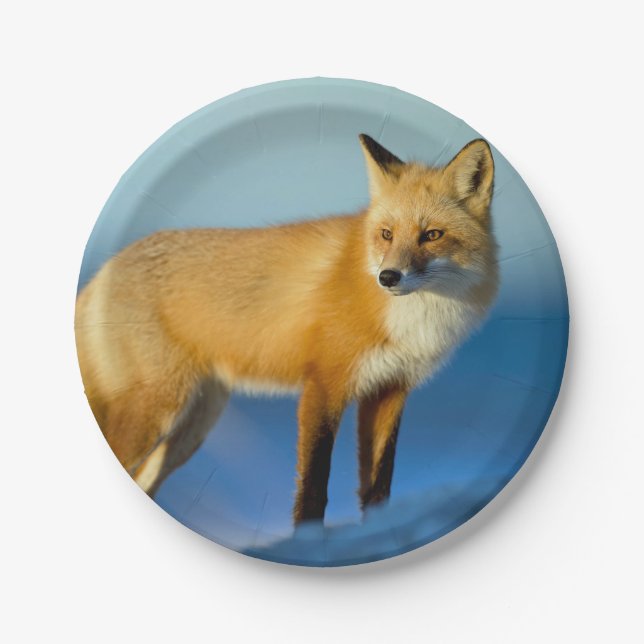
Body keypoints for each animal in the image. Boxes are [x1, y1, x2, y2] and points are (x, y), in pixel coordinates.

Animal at [75, 134, 498, 524]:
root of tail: (106, 268)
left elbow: (378, 487)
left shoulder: (389, 391)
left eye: (432, 235)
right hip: (156, 409)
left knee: (145, 482)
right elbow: (312, 490)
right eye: (387, 234)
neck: (412, 320)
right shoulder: (323, 386)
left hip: (194, 425)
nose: (388, 277)